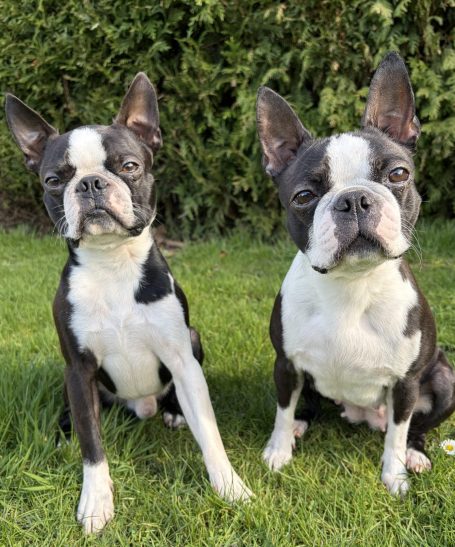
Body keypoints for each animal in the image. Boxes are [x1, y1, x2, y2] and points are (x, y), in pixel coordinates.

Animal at [5, 73, 251, 533]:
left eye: (129, 166)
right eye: (53, 180)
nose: (90, 183)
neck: (112, 265)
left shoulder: (183, 361)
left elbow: (209, 433)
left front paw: (230, 486)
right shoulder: (79, 369)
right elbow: (92, 446)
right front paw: (96, 501)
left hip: (193, 339)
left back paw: (172, 413)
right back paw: (63, 434)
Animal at [256, 52, 455, 495]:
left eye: (398, 174)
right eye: (304, 196)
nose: (354, 200)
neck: (352, 285)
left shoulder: (406, 383)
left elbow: (397, 433)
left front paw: (394, 474)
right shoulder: (285, 363)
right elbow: (281, 410)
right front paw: (278, 450)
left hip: (445, 379)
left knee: (412, 427)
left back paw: (415, 454)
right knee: (305, 404)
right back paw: (300, 425)